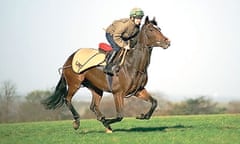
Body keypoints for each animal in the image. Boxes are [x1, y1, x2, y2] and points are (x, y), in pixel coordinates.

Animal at [42, 16, 171, 133]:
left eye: (159, 28)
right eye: (151, 30)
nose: (167, 41)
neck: (132, 64)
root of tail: (69, 59)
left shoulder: (138, 90)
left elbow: (154, 102)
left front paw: (142, 115)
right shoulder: (118, 93)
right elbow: (120, 115)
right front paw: (107, 121)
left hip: (96, 88)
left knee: (93, 106)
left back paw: (104, 123)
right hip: (75, 83)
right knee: (67, 99)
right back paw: (77, 122)